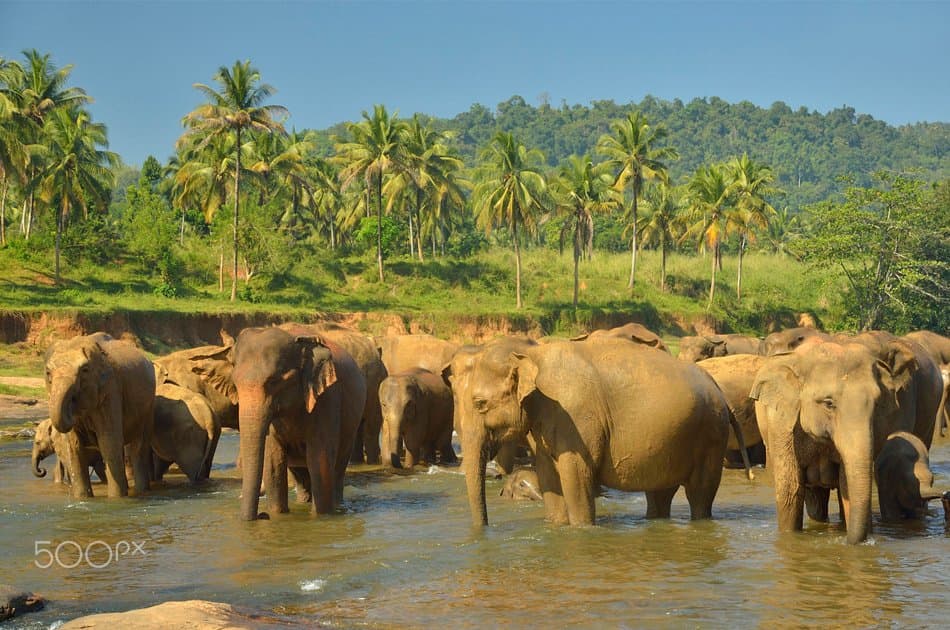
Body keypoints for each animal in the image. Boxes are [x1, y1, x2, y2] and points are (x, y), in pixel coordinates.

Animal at [45, 333, 155, 498]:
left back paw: (142, 491)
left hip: (148, 409)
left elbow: (108, 442)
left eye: (85, 370)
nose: (73, 409)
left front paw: (116, 499)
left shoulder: (110, 390)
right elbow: (74, 447)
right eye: (48, 373)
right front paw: (83, 499)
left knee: (138, 447)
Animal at [226, 325, 366, 520]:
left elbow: (319, 459)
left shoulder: (328, 398)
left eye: (274, 382)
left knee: (337, 470)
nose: (262, 515)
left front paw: (320, 518)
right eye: (235, 383)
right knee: (301, 476)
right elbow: (273, 463)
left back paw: (337, 505)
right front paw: (277, 515)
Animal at [457, 337, 746, 527]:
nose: (486, 528)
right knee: (659, 494)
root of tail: (717, 388)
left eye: (479, 403)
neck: (533, 354)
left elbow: (576, 475)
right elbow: (549, 476)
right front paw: (557, 526)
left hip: (711, 434)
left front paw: (582, 530)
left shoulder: (574, 416)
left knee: (699, 494)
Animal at [750, 335, 942, 543]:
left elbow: (846, 485)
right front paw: (789, 537)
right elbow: (790, 489)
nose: (851, 541)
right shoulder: (781, 424)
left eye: (877, 404)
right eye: (828, 403)